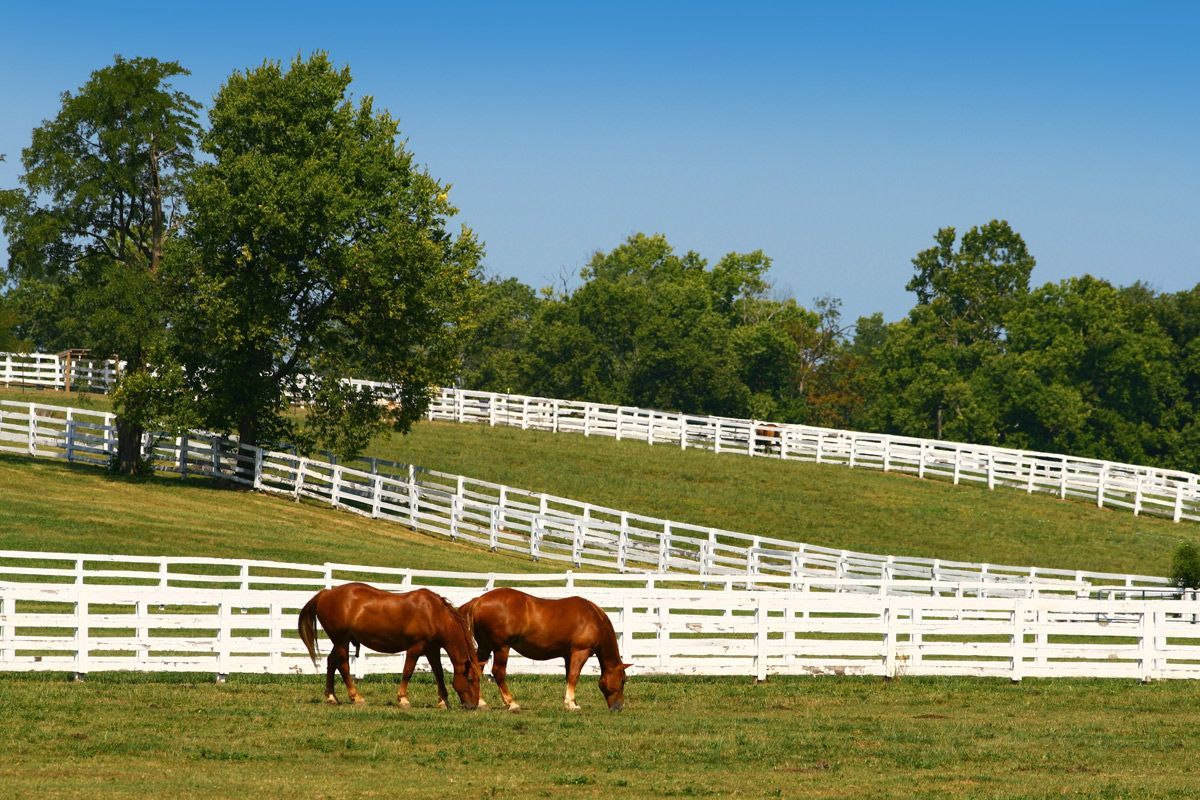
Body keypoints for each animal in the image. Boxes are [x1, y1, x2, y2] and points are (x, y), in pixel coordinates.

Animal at [297, 585, 480, 710]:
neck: (434, 613)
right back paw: (356, 697)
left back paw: (331, 697)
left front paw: (443, 701)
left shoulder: (432, 649)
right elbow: (407, 672)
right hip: (341, 641)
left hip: (340, 642)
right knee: (343, 666)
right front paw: (403, 699)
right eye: (470, 679)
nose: (473, 705)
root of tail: (326, 593)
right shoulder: (415, 648)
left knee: (331, 662)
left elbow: (439, 674)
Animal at [458, 587, 633, 714]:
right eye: (623, 681)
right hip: (502, 647)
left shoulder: (568, 655)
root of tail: (478, 601)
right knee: (498, 672)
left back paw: (481, 702)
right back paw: (512, 703)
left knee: (477, 670)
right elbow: (574, 676)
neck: (594, 618)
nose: (619, 707)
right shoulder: (580, 652)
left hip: (485, 647)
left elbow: (569, 676)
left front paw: (572, 701)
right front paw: (571, 704)